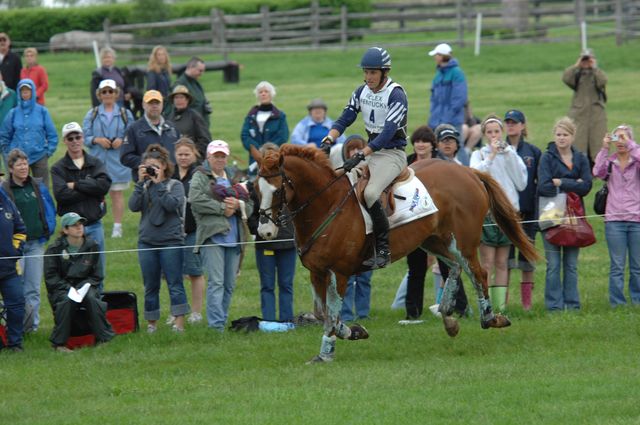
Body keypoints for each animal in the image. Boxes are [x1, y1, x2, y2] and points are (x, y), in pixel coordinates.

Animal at [252, 144, 536, 362]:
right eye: (255, 188)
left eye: (276, 190)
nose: (265, 232)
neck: (327, 204)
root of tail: (467, 171)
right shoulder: (317, 273)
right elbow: (324, 315)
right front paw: (352, 333)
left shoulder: (338, 273)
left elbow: (332, 316)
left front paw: (329, 351)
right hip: (432, 239)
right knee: (455, 267)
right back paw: (448, 317)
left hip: (463, 240)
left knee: (478, 272)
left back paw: (490, 318)